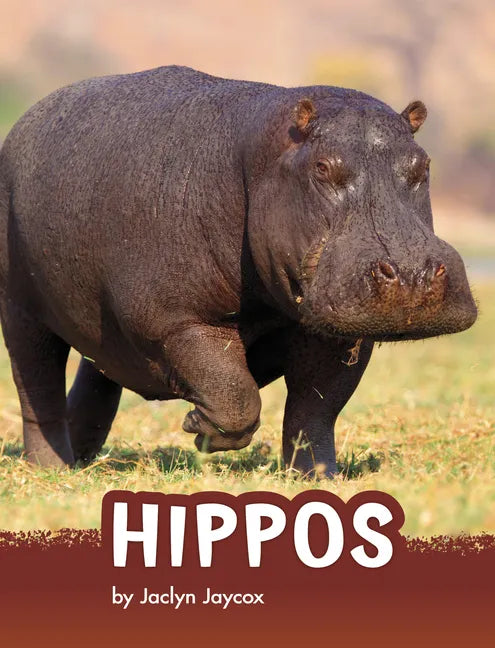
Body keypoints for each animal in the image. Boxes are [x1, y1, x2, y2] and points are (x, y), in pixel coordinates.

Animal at [0, 66, 477, 474]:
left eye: (423, 165)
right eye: (322, 167)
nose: (412, 272)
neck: (258, 160)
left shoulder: (340, 331)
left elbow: (315, 409)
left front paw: (318, 477)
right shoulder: (176, 319)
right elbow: (234, 393)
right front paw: (198, 430)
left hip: (100, 326)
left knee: (96, 374)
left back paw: (83, 459)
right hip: (21, 311)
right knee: (37, 388)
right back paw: (50, 468)